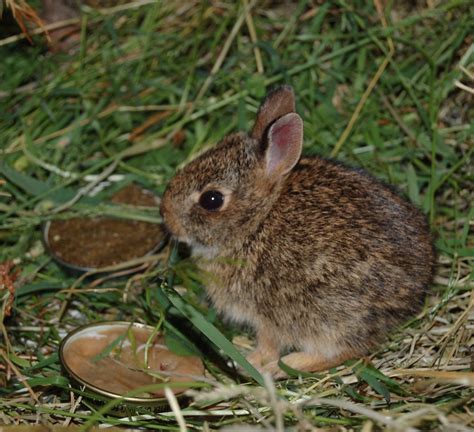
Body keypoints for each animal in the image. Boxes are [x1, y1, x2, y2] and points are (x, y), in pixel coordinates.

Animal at [161, 86, 436, 376]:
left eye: (211, 200)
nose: (165, 214)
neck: (256, 222)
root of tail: (415, 291)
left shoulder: (266, 316)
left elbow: (269, 344)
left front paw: (252, 361)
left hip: (327, 316)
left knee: (343, 350)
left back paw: (287, 365)